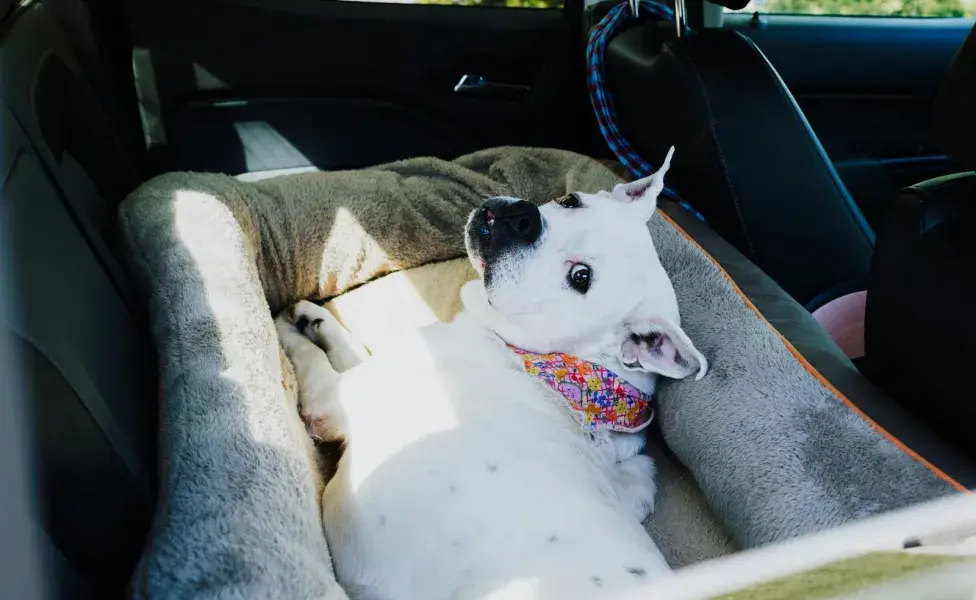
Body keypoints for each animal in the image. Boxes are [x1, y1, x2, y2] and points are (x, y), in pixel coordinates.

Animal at [278, 146, 704, 600]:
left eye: (581, 277)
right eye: (570, 201)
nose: (524, 217)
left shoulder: (332, 397)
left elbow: (309, 358)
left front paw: (282, 332)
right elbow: (352, 348)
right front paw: (314, 318)